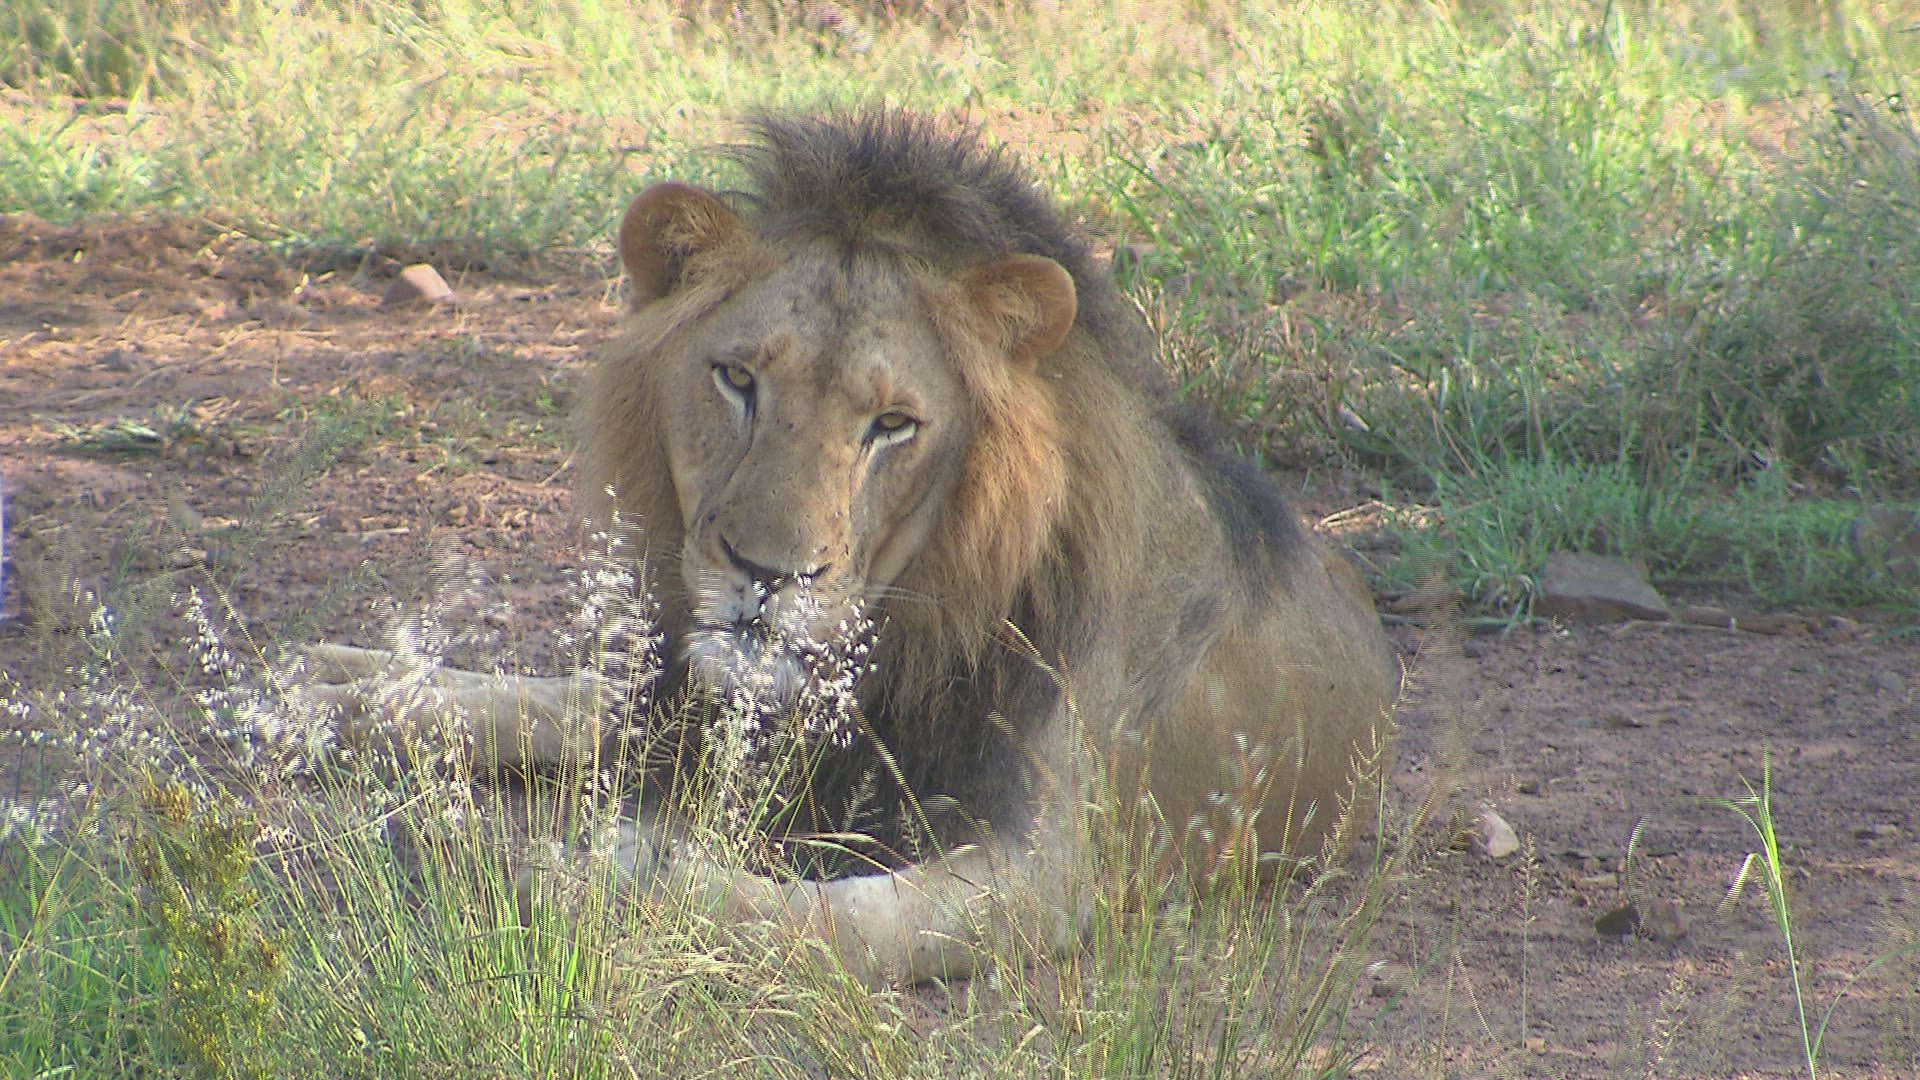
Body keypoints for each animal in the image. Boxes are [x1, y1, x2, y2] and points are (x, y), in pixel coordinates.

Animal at [301, 110, 1400, 986]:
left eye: (893, 426)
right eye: (737, 379)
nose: (766, 574)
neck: (912, 629)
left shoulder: (1044, 871)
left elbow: (817, 919)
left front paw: (581, 876)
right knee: (582, 701)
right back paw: (340, 690)